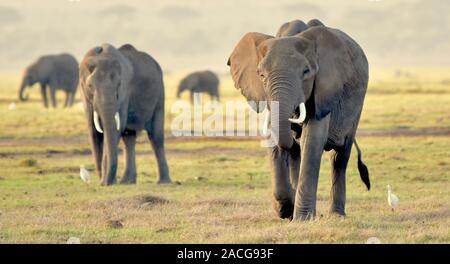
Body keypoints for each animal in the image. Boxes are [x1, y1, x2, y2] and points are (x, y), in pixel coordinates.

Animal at [79, 43, 171, 186]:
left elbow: (116, 128)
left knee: (156, 137)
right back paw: (127, 182)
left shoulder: (124, 93)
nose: (103, 182)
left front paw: (106, 182)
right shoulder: (85, 96)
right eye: (90, 86)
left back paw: (163, 182)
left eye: (118, 85)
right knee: (129, 138)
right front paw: (103, 181)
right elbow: (93, 132)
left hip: (160, 95)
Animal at [227, 19, 370, 221]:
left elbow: (311, 140)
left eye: (305, 72)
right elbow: (274, 137)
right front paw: (286, 210)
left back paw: (336, 215)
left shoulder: (324, 90)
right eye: (261, 75)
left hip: (356, 107)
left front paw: (302, 218)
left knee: (340, 156)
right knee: (298, 154)